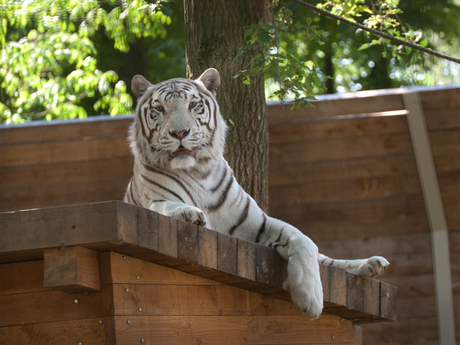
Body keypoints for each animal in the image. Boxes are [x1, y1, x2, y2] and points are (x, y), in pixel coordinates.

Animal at [124, 68, 390, 318]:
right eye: (159, 108)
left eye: (193, 105)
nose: (180, 133)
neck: (198, 172)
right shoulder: (156, 201)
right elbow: (167, 205)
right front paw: (189, 213)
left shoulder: (255, 224)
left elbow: (302, 239)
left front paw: (311, 299)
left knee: (324, 258)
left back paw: (370, 264)